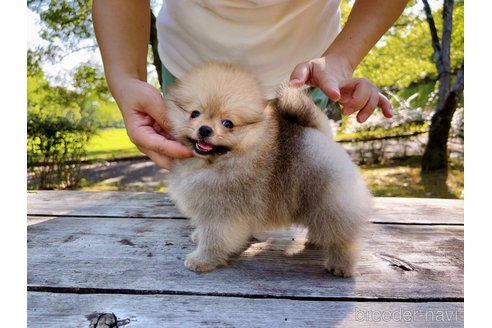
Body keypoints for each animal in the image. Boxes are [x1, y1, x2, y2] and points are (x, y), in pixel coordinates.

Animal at [163, 61, 370, 276]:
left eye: (228, 123)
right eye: (194, 114)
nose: (204, 129)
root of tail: (319, 134)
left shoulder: (221, 212)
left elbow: (214, 240)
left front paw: (202, 260)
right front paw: (198, 236)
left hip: (329, 201)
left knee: (343, 238)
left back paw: (340, 265)